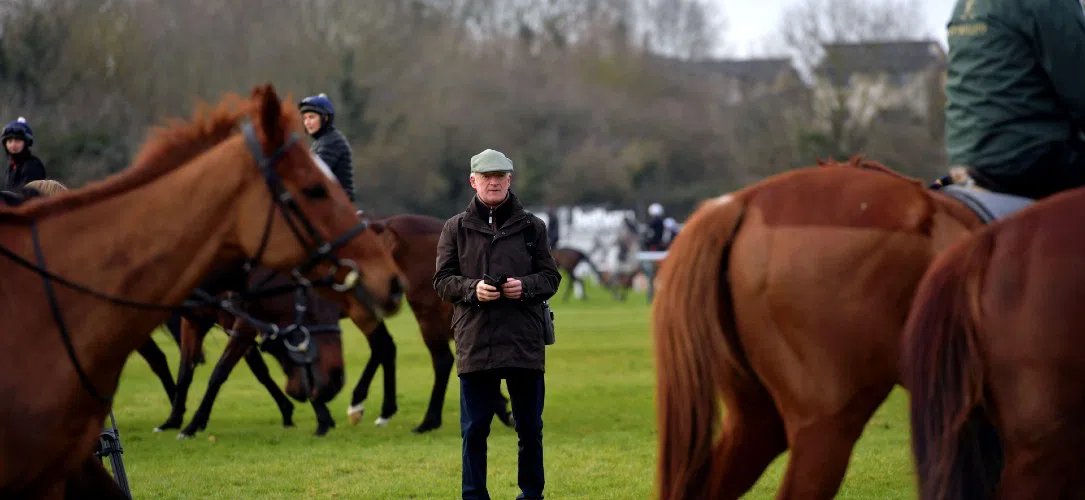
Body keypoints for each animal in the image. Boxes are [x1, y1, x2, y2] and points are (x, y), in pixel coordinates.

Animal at [0, 84, 405, 498]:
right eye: (314, 189)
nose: (385, 279)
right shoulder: (205, 323)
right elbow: (194, 370)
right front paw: (179, 418)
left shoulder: (245, 325)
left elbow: (221, 371)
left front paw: (195, 422)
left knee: (383, 348)